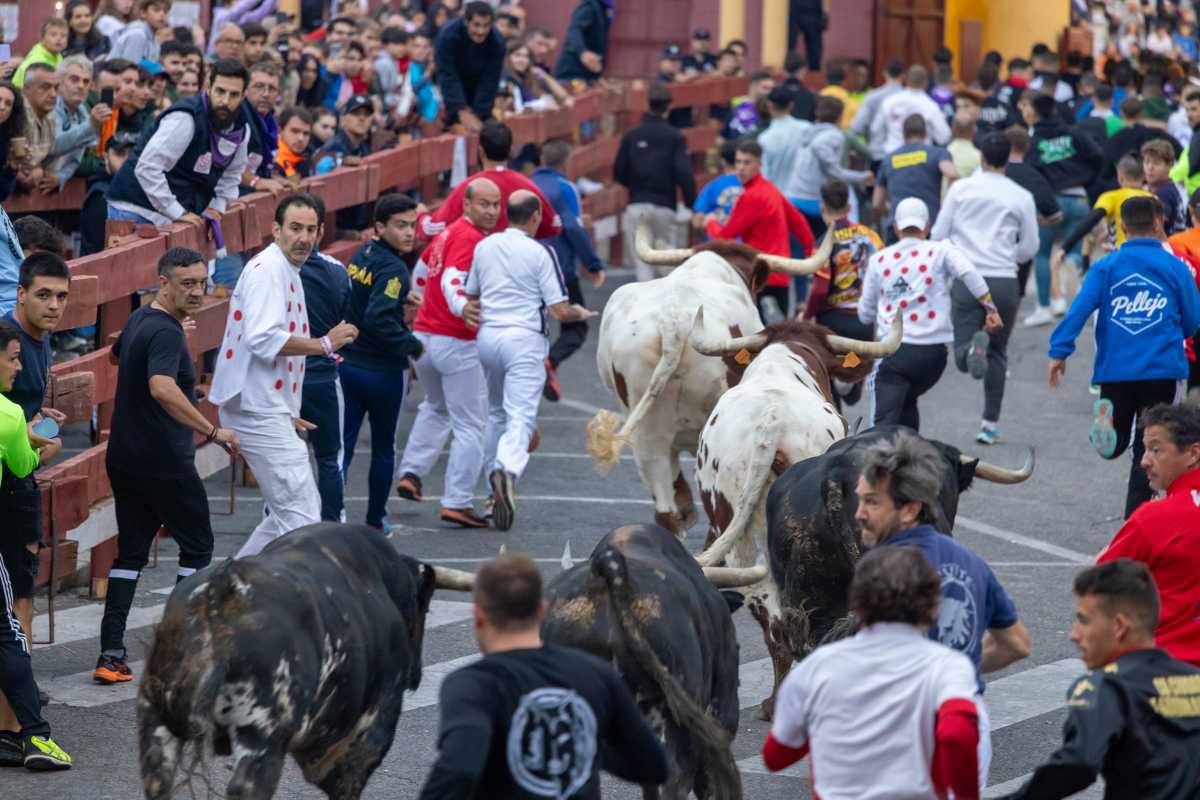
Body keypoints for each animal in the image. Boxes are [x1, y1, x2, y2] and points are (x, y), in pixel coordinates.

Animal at [138, 525, 475, 800]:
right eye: (425, 606)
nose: (415, 675)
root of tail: (220, 591)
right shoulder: (371, 733)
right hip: (262, 735)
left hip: (155, 721)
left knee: (158, 783)